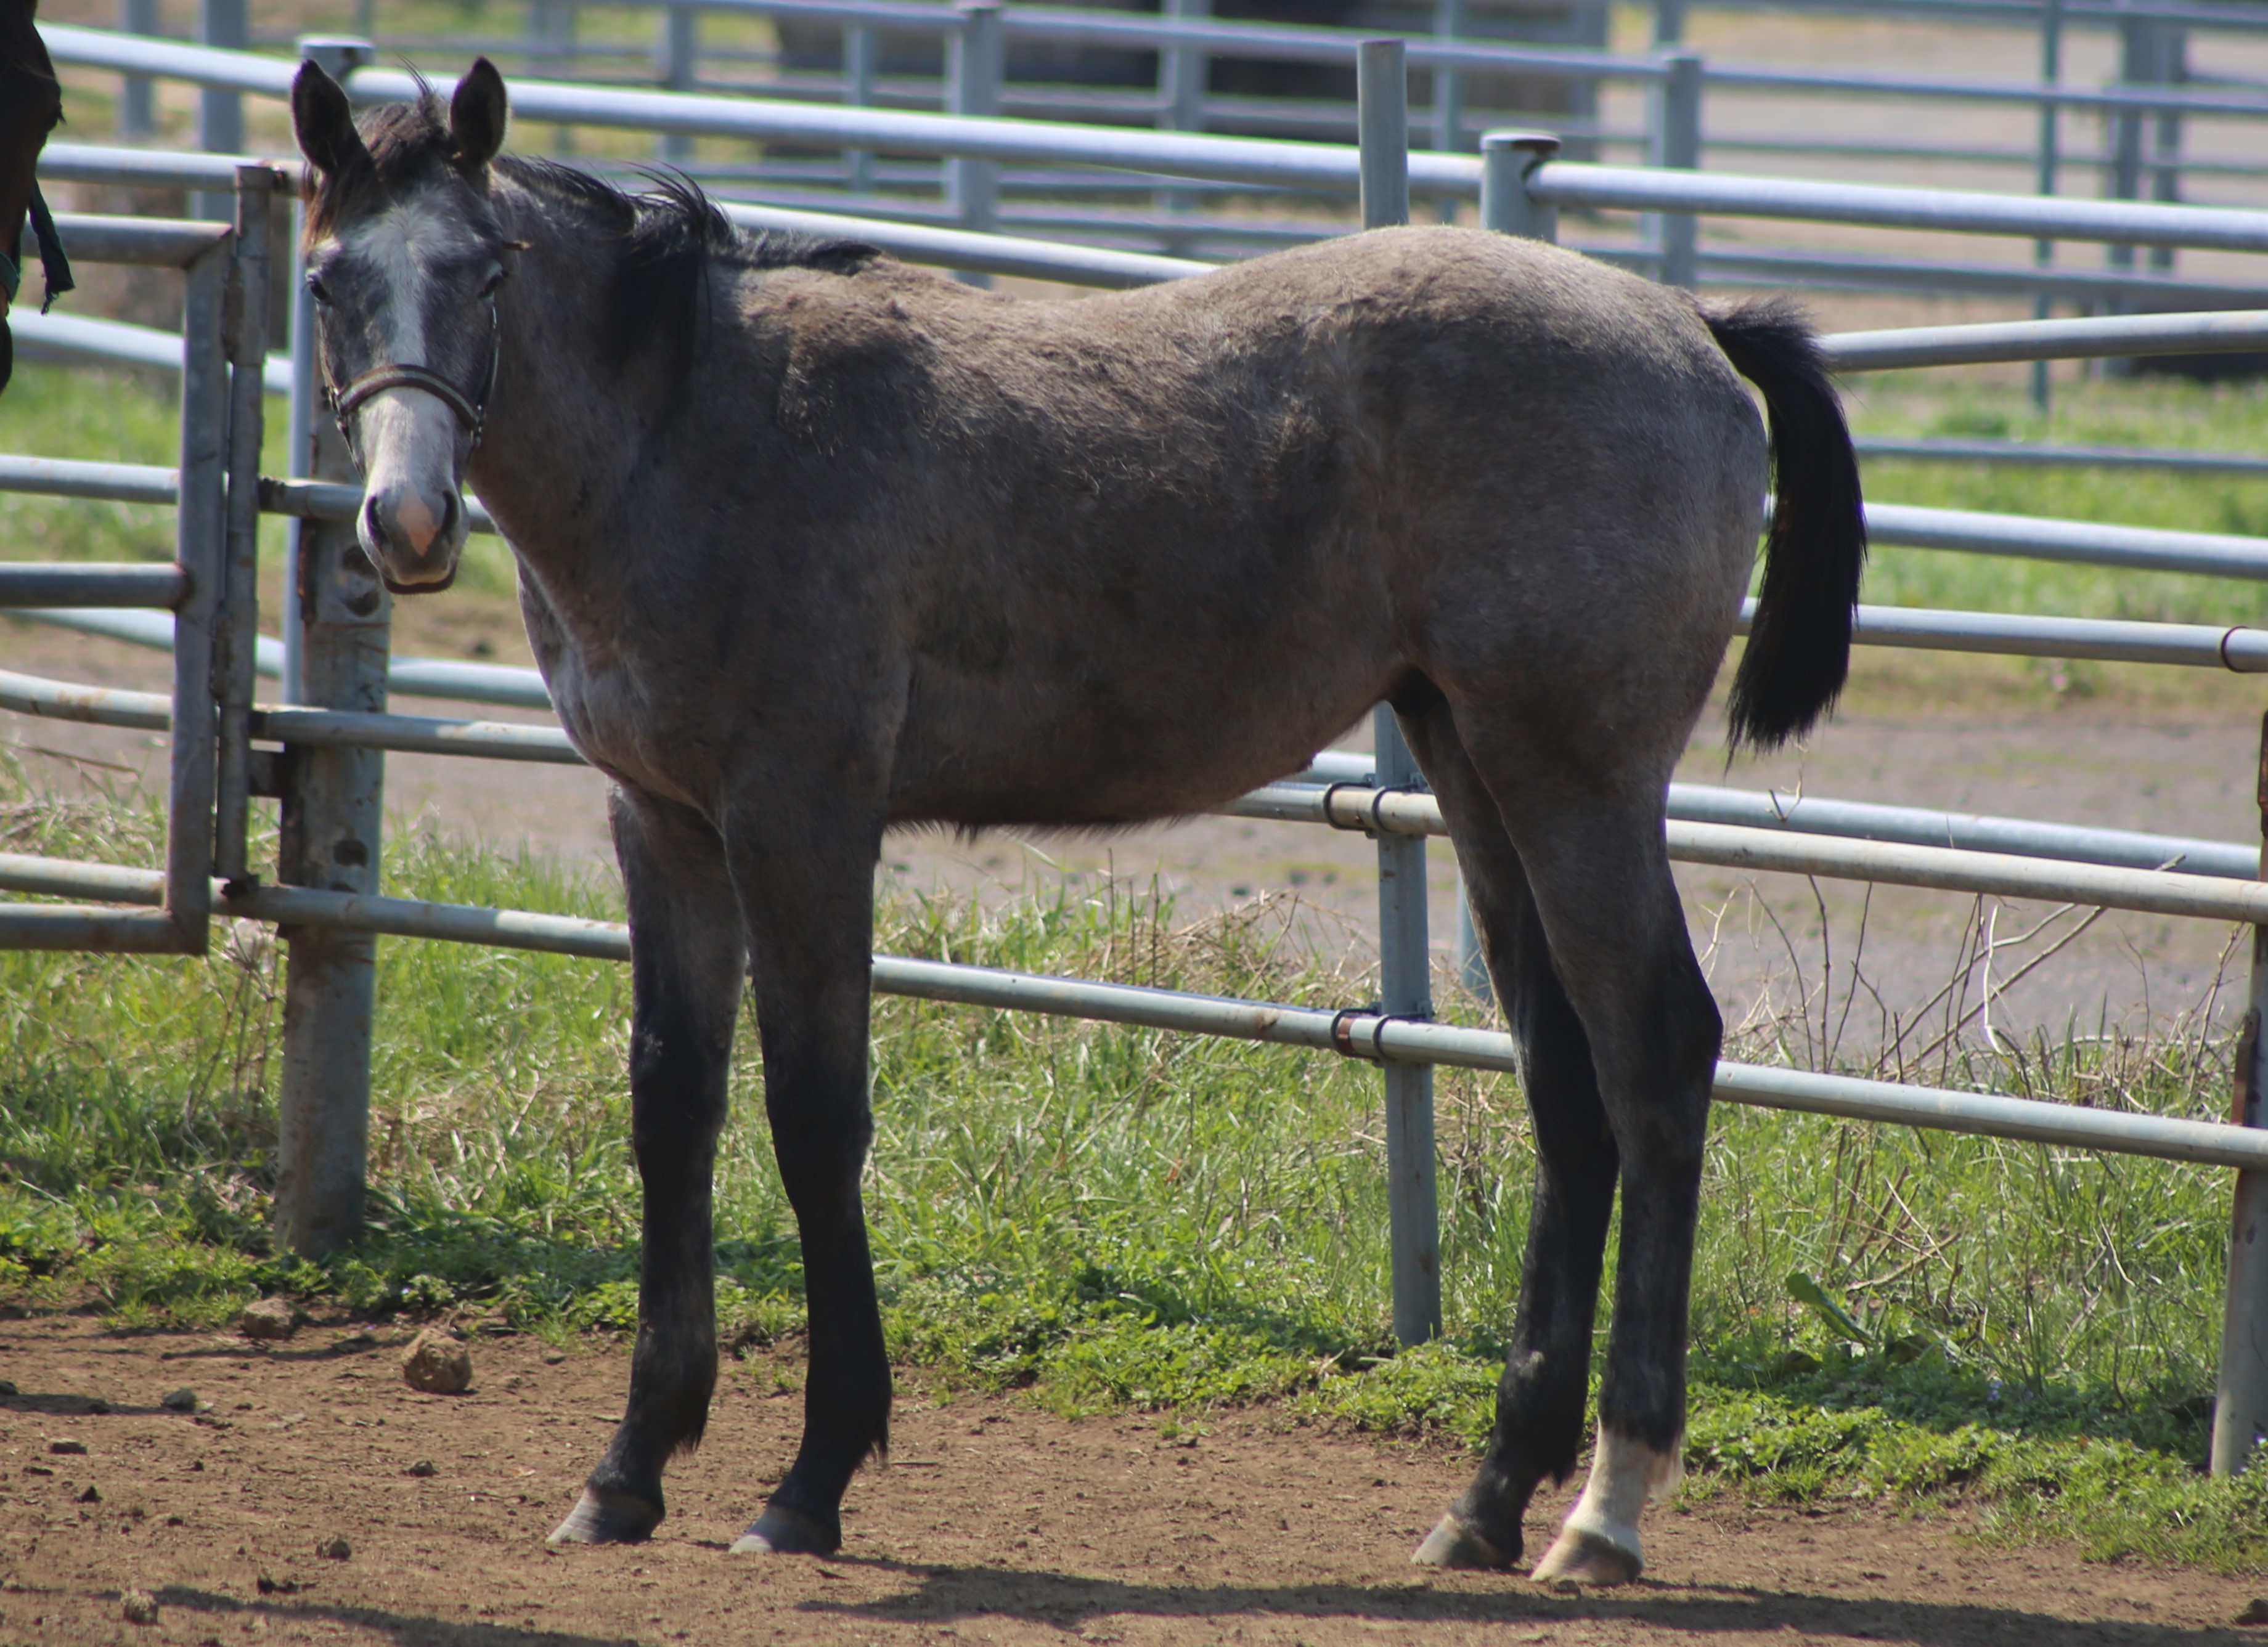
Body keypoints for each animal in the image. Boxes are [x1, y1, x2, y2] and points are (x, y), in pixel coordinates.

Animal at [292, 61, 1869, 1588]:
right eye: (325, 279)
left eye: (484, 269)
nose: (405, 522)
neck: (700, 425)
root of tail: (1685, 323)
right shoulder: (663, 823)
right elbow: (672, 1108)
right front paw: (626, 1470)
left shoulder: (800, 815)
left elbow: (813, 1117)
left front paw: (810, 1479)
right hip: (1473, 760)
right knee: (1563, 1077)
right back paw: (1483, 1500)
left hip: (1575, 778)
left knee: (1655, 1056)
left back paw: (1605, 1507)